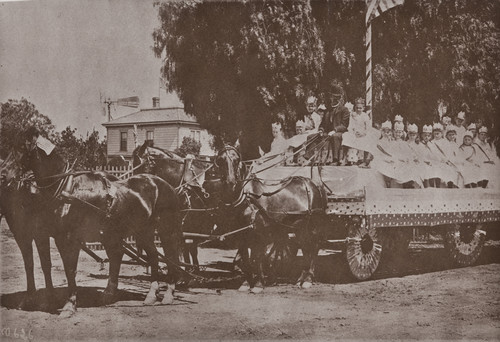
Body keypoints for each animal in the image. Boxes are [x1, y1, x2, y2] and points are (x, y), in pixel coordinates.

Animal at [12, 132, 183, 318]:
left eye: (21, 148)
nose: (7, 173)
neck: (67, 189)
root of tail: (165, 185)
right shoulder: (56, 237)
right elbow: (58, 267)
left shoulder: (71, 238)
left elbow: (70, 269)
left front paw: (69, 305)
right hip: (142, 232)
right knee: (153, 257)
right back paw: (150, 295)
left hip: (167, 230)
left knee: (172, 257)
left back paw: (168, 294)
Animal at [214, 146, 328, 292]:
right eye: (220, 160)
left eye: (236, 159)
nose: (231, 182)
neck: (246, 196)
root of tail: (314, 184)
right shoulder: (242, 233)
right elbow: (245, 258)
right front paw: (246, 283)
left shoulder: (258, 231)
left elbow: (257, 257)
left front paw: (258, 284)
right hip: (299, 227)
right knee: (305, 248)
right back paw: (301, 279)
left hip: (313, 226)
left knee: (314, 248)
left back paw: (308, 279)